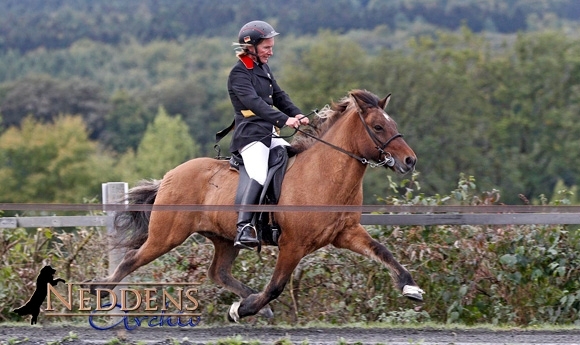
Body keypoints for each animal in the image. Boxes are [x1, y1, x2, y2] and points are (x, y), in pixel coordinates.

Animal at [93, 88, 424, 320]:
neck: (324, 174)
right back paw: (99, 290)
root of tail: (169, 176)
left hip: (225, 239)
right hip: (167, 235)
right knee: (131, 259)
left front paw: (410, 287)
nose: (410, 161)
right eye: (378, 127)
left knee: (218, 272)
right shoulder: (293, 244)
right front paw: (241, 310)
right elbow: (276, 285)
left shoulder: (346, 233)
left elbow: (382, 251)